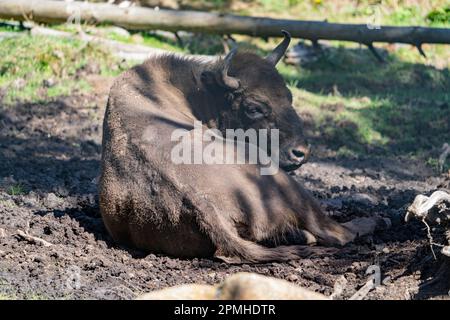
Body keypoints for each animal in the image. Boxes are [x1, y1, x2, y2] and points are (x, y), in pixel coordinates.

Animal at [98, 31, 386, 262]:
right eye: (254, 107)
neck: (197, 93)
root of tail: (202, 203)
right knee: (336, 232)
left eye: (289, 96)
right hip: (278, 176)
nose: (300, 153)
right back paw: (374, 221)